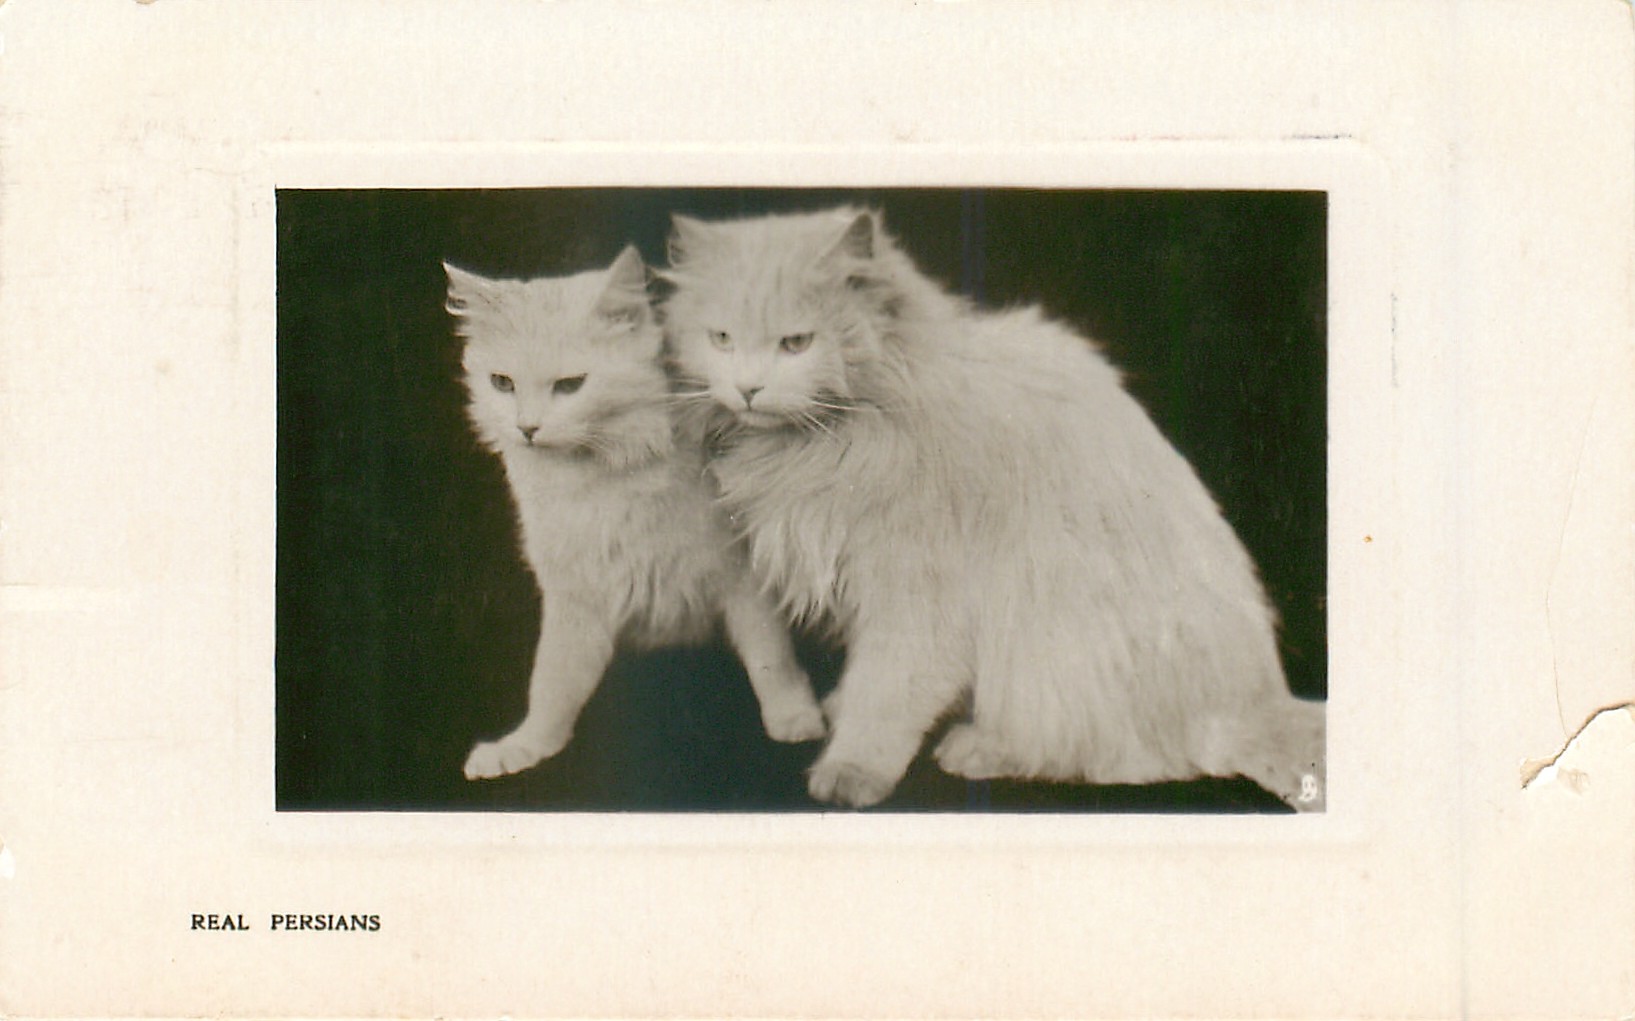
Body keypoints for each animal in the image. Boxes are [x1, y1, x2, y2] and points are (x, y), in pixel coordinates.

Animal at [444, 247, 825, 780]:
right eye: (502, 383)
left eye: (570, 386)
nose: (527, 428)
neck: (603, 479)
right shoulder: (577, 599)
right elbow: (552, 685)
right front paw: (526, 746)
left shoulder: (743, 579)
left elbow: (773, 658)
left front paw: (795, 718)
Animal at [660, 206, 1326, 811]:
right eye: (721, 339)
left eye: (795, 343)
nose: (748, 389)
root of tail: (1256, 706)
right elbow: (865, 680)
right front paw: (834, 710)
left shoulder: (917, 599)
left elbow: (886, 692)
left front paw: (851, 772)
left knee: (1109, 756)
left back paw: (976, 748)